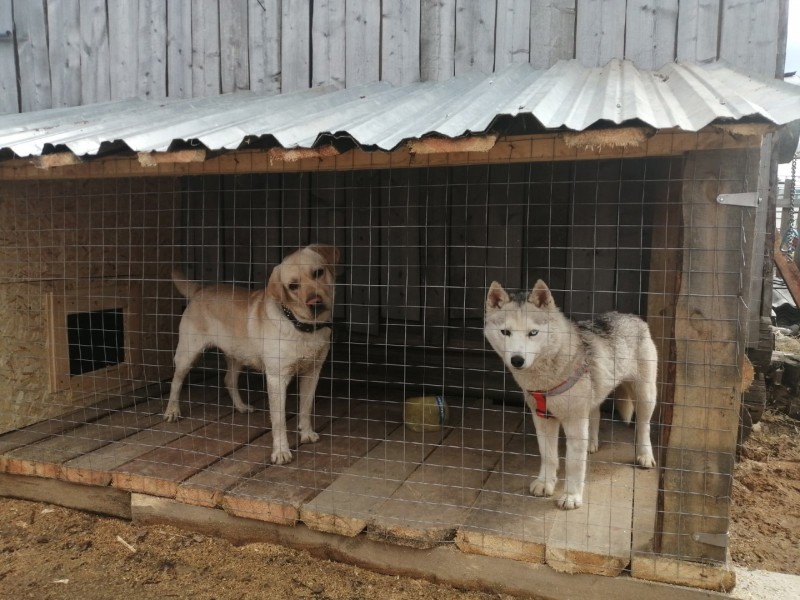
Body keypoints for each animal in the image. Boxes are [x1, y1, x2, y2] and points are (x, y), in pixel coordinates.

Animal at [164, 244, 340, 464]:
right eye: (293, 286)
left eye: (318, 272)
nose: (315, 302)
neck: (302, 327)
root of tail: (200, 290)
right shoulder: (276, 378)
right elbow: (279, 420)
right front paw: (281, 451)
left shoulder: (313, 372)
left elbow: (306, 407)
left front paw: (306, 433)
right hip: (187, 354)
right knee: (176, 382)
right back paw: (172, 411)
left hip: (238, 355)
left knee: (229, 379)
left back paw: (241, 406)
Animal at [482, 282, 656, 510]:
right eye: (505, 332)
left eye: (533, 333)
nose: (517, 360)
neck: (548, 377)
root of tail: (632, 317)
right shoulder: (543, 418)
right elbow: (548, 455)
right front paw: (545, 483)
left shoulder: (574, 421)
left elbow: (573, 464)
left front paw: (571, 496)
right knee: (595, 414)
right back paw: (591, 443)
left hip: (645, 395)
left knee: (644, 426)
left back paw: (645, 455)